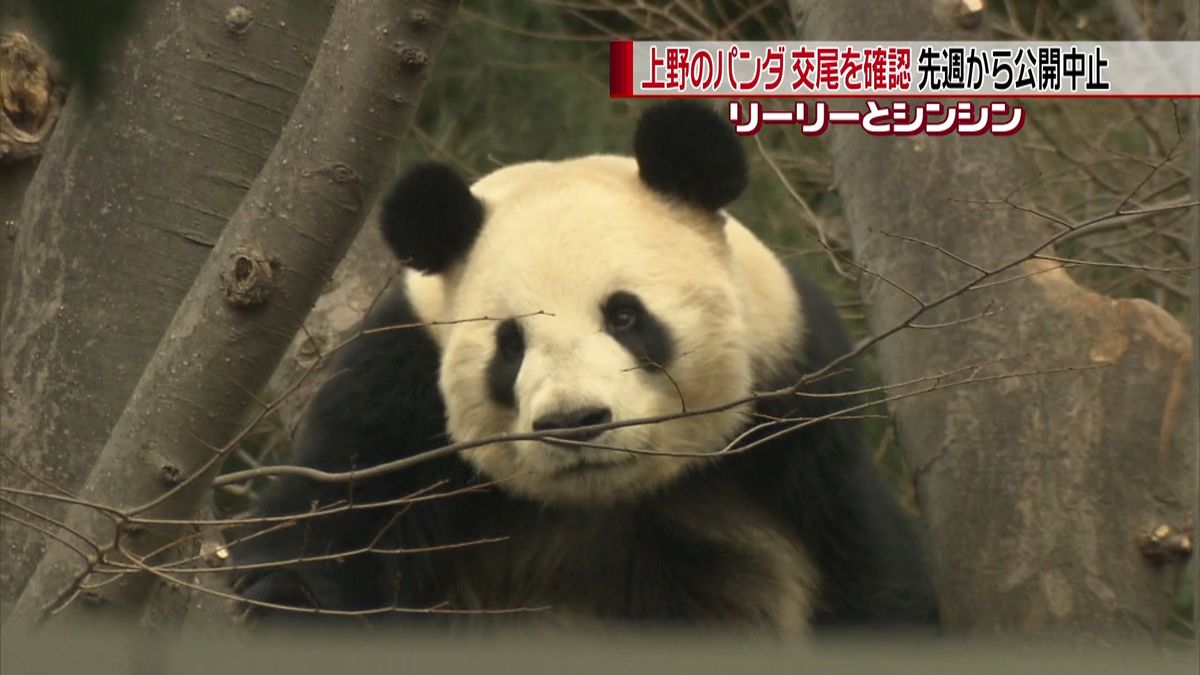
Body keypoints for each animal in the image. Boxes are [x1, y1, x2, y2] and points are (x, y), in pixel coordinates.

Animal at [231, 99, 936, 629]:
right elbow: (318, 544)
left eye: (624, 316)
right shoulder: (394, 404)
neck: (604, 500)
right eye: (510, 344)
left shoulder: (795, 423)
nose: (574, 422)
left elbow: (866, 577)